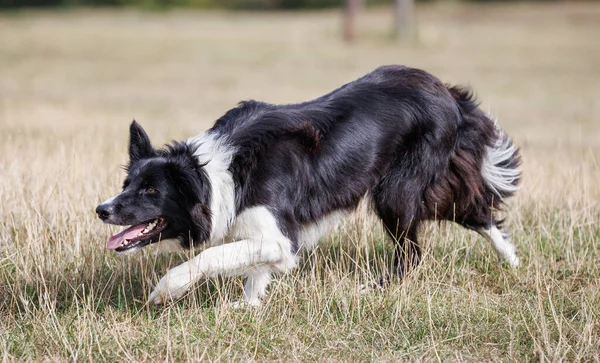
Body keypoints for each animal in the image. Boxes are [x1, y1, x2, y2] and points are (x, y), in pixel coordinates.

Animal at [96, 66, 516, 308]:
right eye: (128, 183)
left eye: (152, 191)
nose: (102, 209)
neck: (217, 174)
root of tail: (447, 92)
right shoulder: (262, 233)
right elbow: (254, 269)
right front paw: (247, 306)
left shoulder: (280, 236)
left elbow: (212, 256)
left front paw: (166, 290)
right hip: (425, 184)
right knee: (477, 212)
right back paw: (513, 262)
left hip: (396, 190)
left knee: (414, 251)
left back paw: (372, 290)